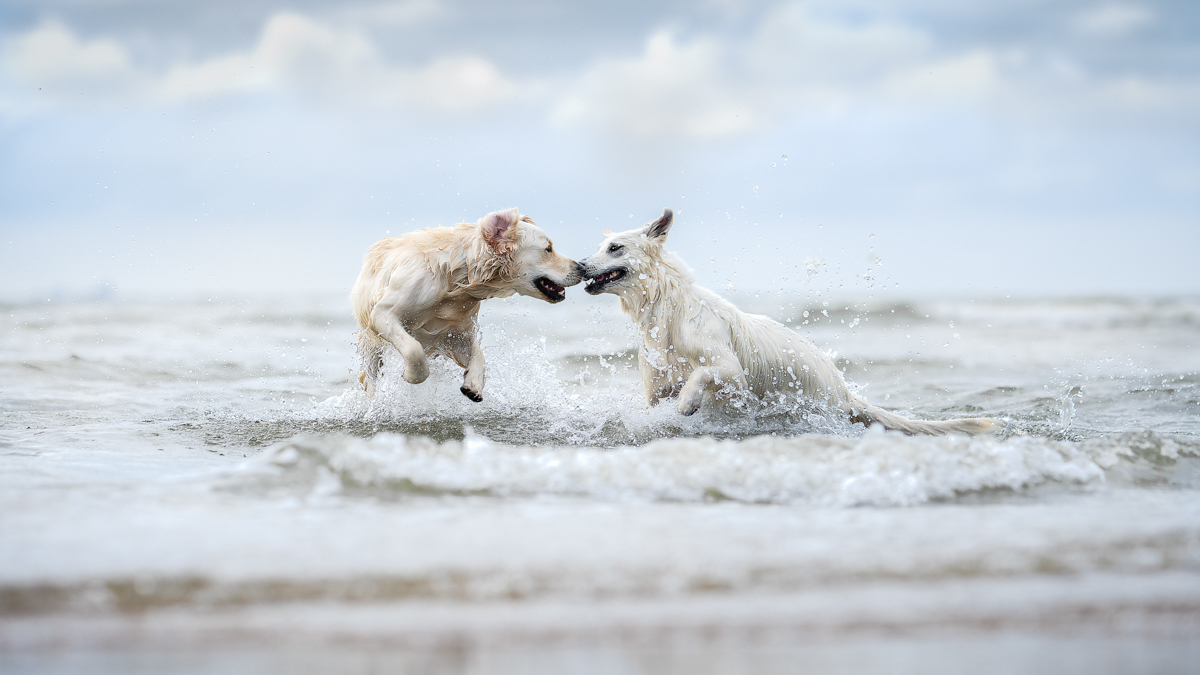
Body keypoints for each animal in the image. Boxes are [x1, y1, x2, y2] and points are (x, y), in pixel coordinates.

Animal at [350, 207, 580, 398]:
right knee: (369, 377)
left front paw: (473, 384)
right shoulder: (383, 313)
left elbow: (479, 354)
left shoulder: (456, 333)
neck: (457, 276)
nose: (582, 267)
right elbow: (414, 348)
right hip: (371, 346)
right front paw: (411, 375)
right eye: (548, 249)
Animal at [576, 207, 998, 432]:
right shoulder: (655, 387)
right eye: (600, 247)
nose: (579, 265)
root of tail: (845, 391)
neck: (668, 307)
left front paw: (687, 403)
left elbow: (702, 373)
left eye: (615, 247)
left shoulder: (729, 368)